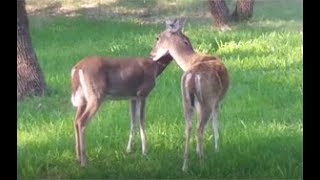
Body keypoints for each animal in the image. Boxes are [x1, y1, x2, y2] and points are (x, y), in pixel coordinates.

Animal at [150, 18, 230, 172]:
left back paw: (185, 165)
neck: (191, 61)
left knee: (188, 127)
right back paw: (202, 162)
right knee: (200, 128)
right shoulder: (216, 101)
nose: (151, 54)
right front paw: (217, 150)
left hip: (186, 100)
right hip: (207, 100)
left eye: (158, 37)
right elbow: (216, 124)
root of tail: (192, 76)